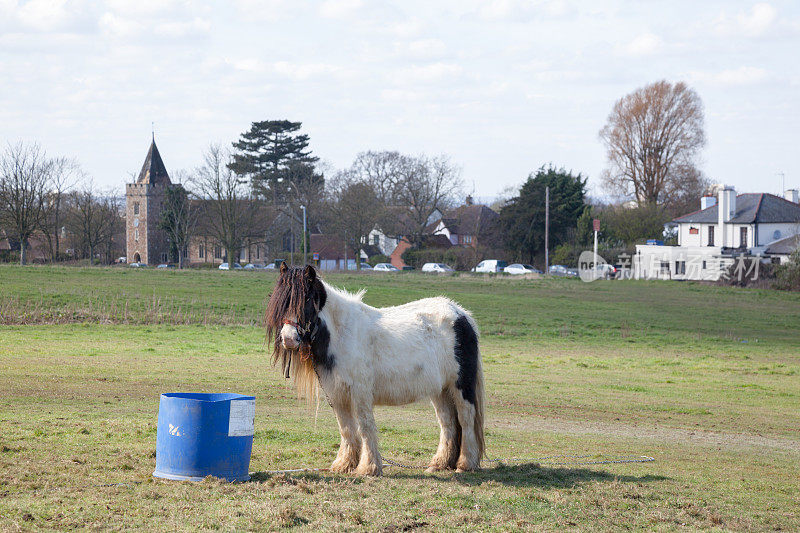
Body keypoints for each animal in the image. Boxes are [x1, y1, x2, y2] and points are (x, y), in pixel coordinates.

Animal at [266, 264, 484, 476]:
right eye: (281, 301)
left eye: (307, 299)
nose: (288, 339)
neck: (342, 334)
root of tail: (461, 314)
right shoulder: (337, 394)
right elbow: (346, 428)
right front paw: (344, 465)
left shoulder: (360, 392)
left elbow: (365, 426)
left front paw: (368, 467)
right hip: (440, 391)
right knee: (447, 423)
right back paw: (439, 464)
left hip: (461, 387)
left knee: (465, 419)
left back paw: (465, 464)